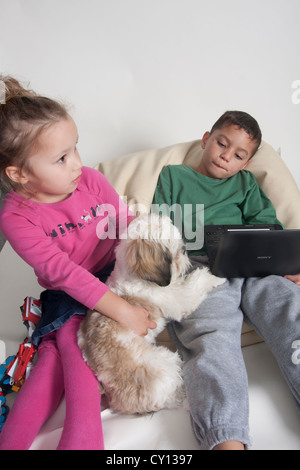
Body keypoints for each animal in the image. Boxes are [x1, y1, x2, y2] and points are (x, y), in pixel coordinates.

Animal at [78, 213, 224, 414]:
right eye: (175, 254)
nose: (185, 249)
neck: (136, 276)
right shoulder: (177, 298)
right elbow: (197, 283)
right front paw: (216, 278)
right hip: (165, 363)